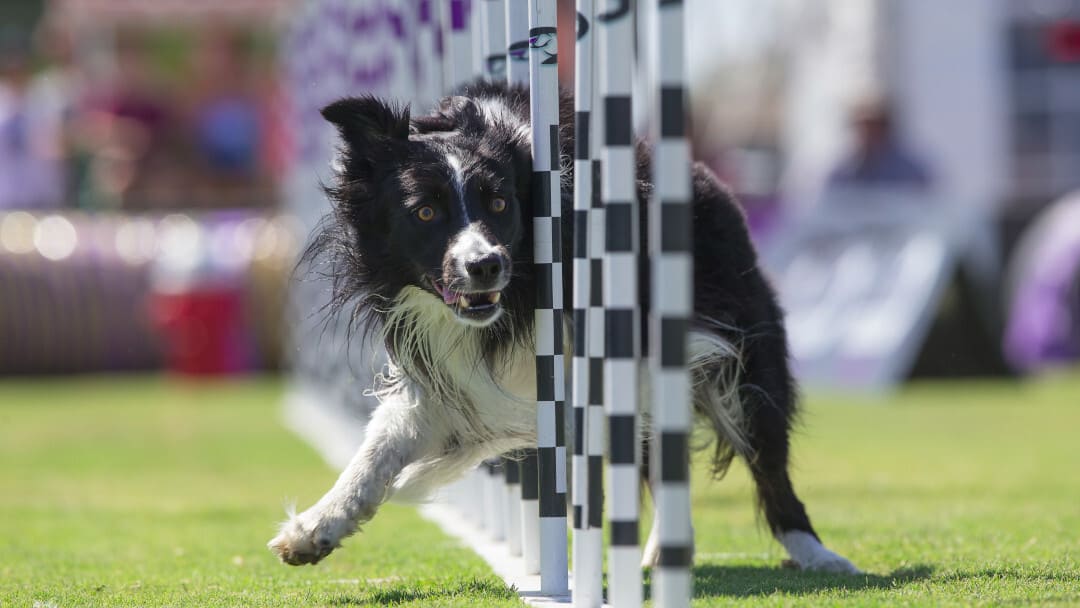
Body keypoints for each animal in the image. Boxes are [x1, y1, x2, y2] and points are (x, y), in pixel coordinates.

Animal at [265, 80, 855, 574]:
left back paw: (815, 553)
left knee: (763, 452)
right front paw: (316, 527)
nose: (485, 266)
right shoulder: (444, 372)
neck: (513, 306)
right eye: (425, 212)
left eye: (499, 202)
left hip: (746, 343)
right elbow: (379, 448)